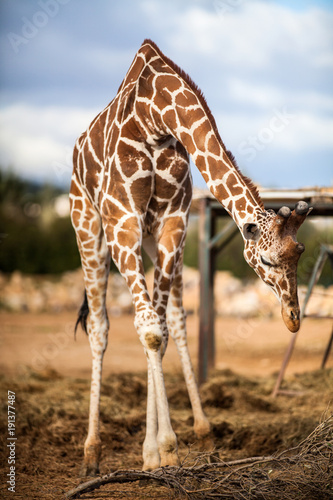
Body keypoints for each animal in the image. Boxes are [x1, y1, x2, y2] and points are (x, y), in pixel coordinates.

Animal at [68, 39, 310, 476]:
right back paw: (91, 452)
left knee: (174, 319)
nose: (293, 319)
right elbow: (148, 328)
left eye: (299, 253)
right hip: (88, 224)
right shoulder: (122, 222)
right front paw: (164, 448)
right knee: (99, 326)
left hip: (155, 242)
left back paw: (187, 434)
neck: (156, 115)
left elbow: (161, 328)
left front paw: (157, 452)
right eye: (267, 262)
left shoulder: (172, 223)